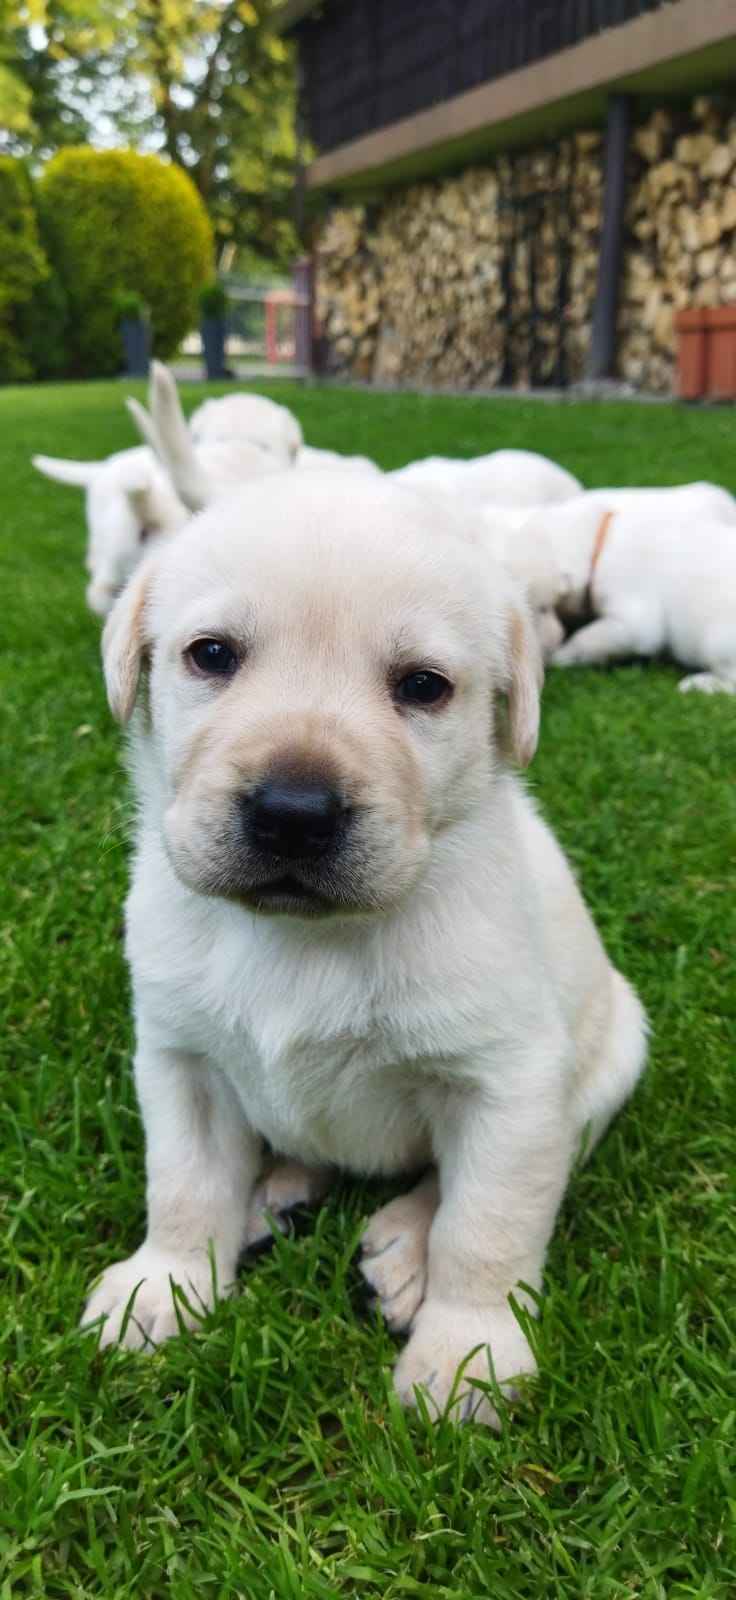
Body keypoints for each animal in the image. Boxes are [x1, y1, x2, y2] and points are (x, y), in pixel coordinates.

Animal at [82, 473, 643, 1427]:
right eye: (211, 655)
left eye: (422, 685)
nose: (293, 813)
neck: (305, 939)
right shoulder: (181, 1058)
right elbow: (184, 1184)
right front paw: (163, 1287)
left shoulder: (509, 1083)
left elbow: (486, 1226)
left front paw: (467, 1355)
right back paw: (274, 1191)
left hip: (612, 1059)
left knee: (462, 1179)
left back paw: (403, 1246)